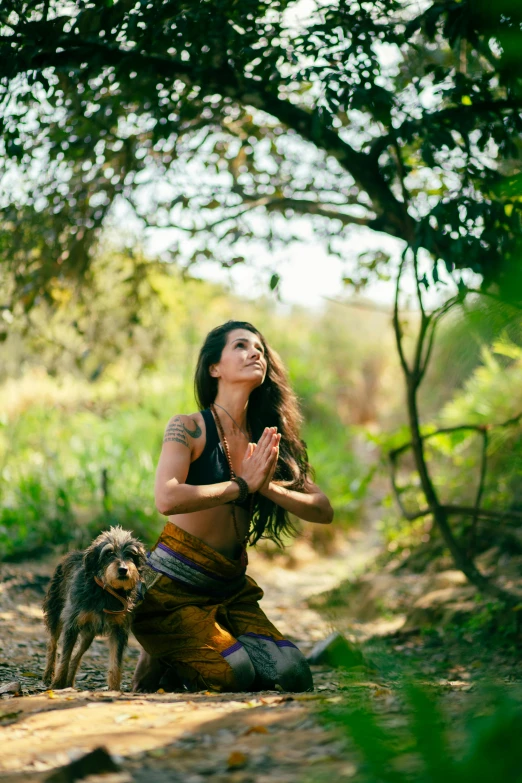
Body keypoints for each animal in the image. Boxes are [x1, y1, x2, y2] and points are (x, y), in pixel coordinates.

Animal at [41, 528, 144, 688]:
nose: (123, 569)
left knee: (76, 656)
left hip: (89, 633)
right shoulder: (72, 624)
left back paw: (69, 681)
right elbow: (64, 658)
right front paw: (57, 684)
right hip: (56, 612)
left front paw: (114, 689)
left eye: (130, 554)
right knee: (53, 644)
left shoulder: (119, 630)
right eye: (109, 553)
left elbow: (116, 664)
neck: (105, 590)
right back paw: (49, 675)